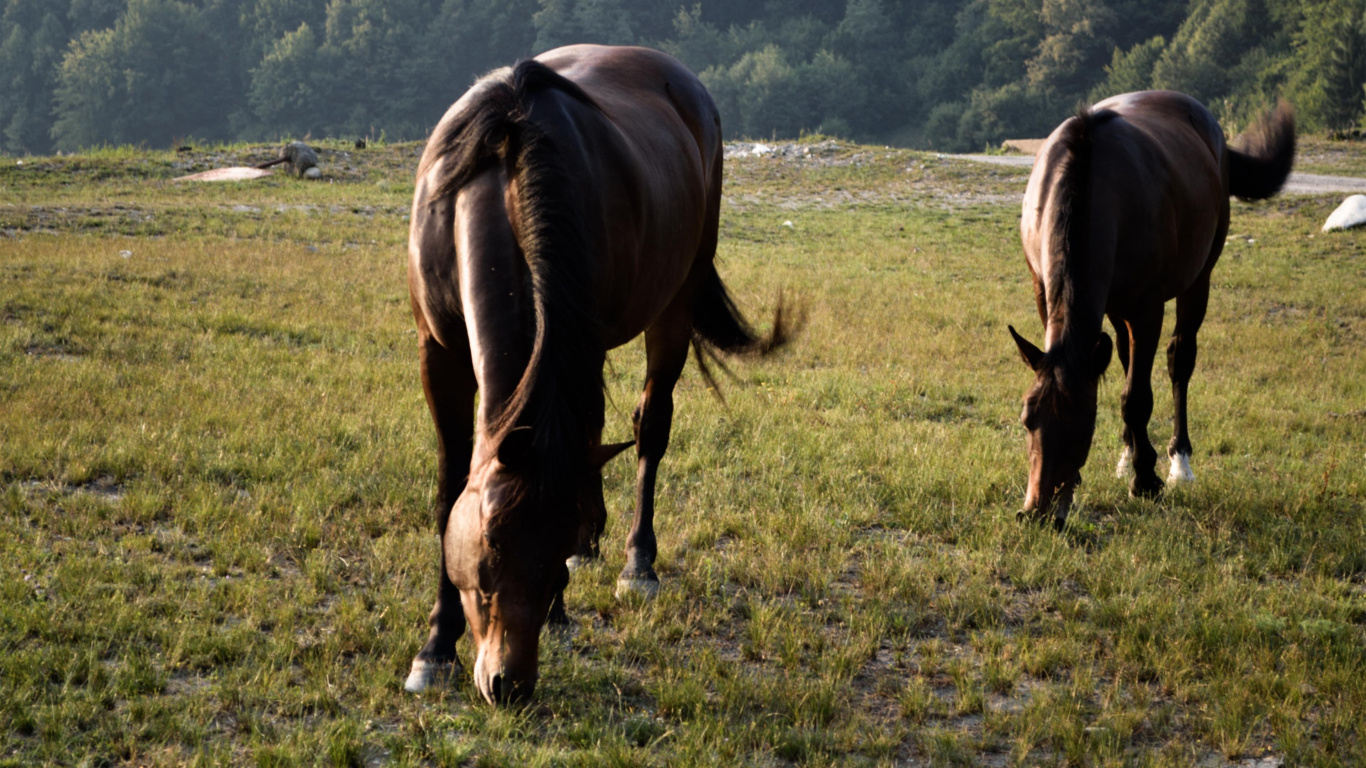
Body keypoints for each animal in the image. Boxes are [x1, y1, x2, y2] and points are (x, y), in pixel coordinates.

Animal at [402, 45, 794, 704]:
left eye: (549, 545)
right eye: (489, 549)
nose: (509, 684)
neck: (501, 175)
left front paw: (561, 601)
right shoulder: (440, 353)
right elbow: (449, 489)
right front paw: (434, 647)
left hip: (675, 304)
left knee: (649, 427)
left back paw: (637, 564)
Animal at [1009, 91, 1294, 527]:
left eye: (1083, 424)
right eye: (1028, 419)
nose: (1038, 513)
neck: (1094, 183)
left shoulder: (1146, 309)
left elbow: (1136, 397)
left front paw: (1146, 482)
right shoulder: (1045, 295)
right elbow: (1125, 383)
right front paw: (1133, 464)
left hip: (1197, 281)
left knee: (1180, 361)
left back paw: (1179, 463)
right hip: (1116, 307)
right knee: (1127, 359)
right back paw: (1129, 454)